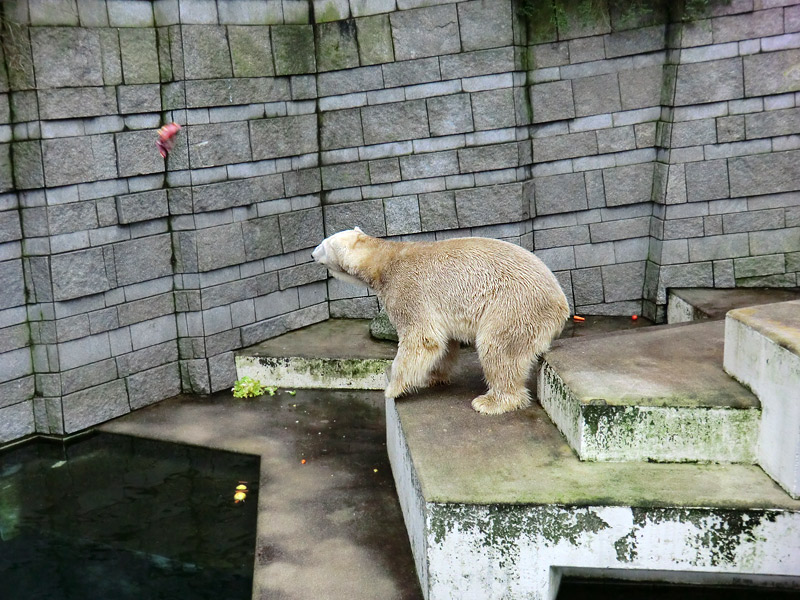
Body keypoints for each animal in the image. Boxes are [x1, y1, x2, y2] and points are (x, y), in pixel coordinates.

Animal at [312, 227, 568, 414]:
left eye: (323, 244)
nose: (311, 254)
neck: (384, 261)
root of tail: (561, 304)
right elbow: (444, 344)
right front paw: (431, 377)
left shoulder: (408, 290)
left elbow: (421, 339)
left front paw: (392, 388)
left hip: (514, 304)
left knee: (497, 348)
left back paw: (491, 402)